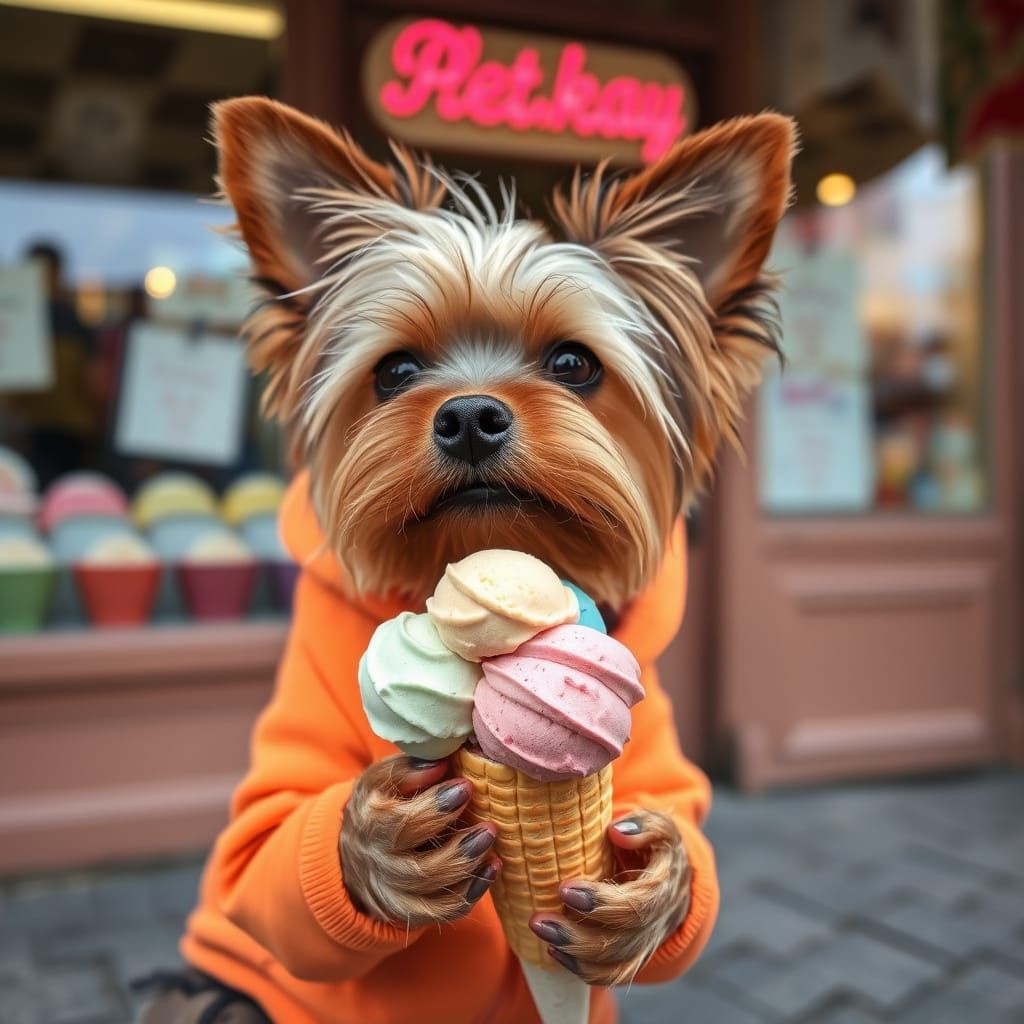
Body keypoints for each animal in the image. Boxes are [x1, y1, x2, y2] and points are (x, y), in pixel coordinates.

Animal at [153, 97, 798, 1024]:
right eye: (395, 370)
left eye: (572, 363)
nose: (467, 416)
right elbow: (262, 848)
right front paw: (378, 845)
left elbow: (677, 837)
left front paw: (655, 890)